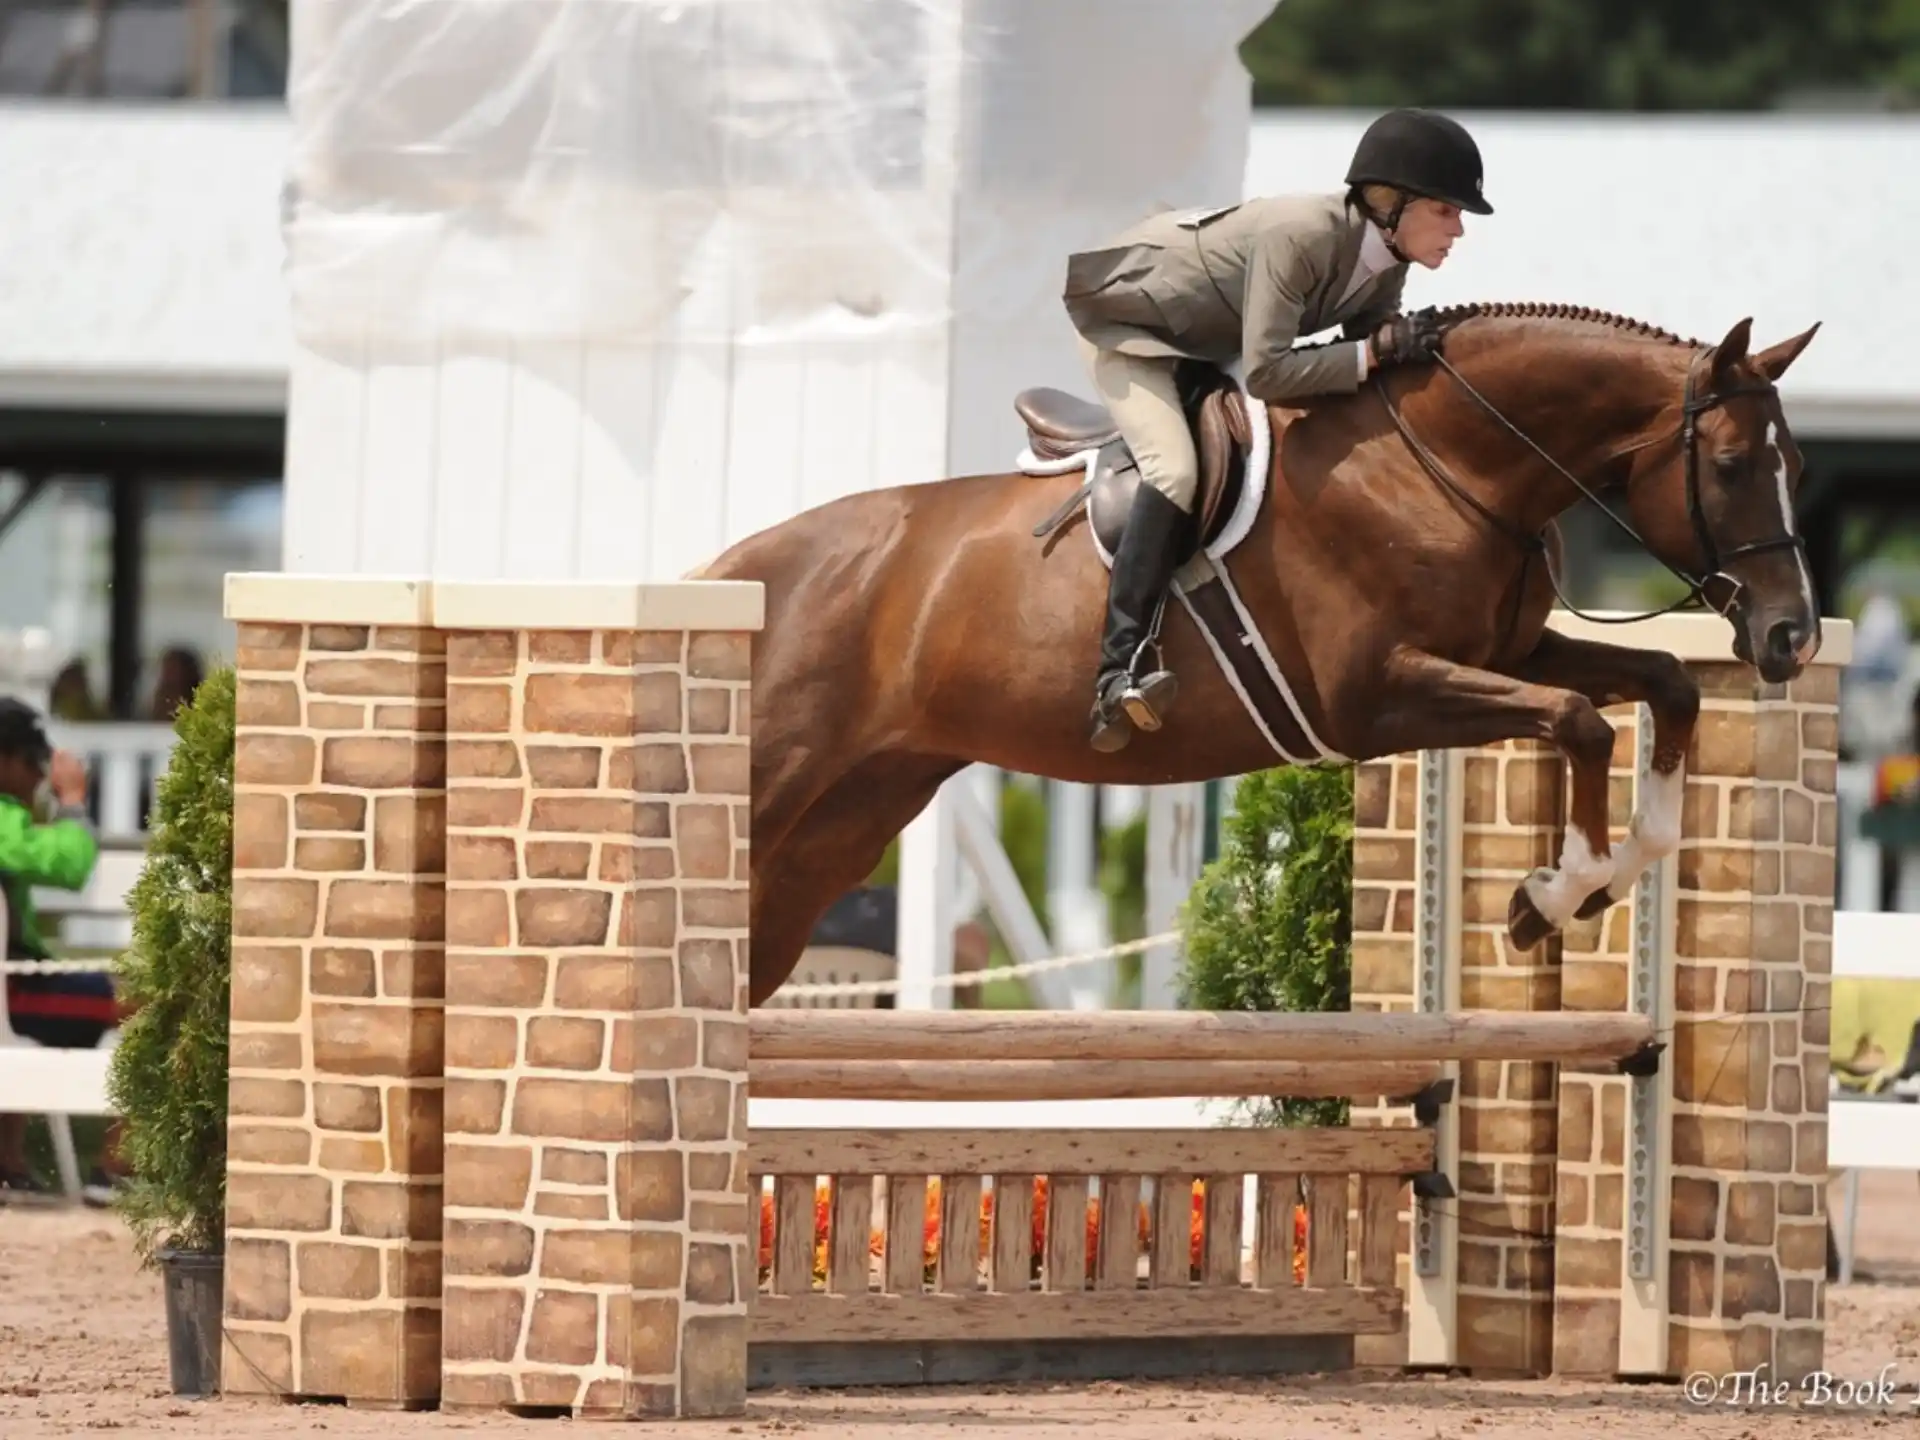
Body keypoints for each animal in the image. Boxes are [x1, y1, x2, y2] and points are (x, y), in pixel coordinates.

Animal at [695, 303, 1824, 1007]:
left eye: (1797, 465)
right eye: (1731, 465)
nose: (1791, 636)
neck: (1447, 466)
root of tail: (736, 566)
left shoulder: (1512, 650)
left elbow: (1664, 686)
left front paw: (1597, 876)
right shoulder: (1375, 701)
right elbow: (1581, 723)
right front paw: (1555, 893)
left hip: (842, 825)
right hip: (775, 783)